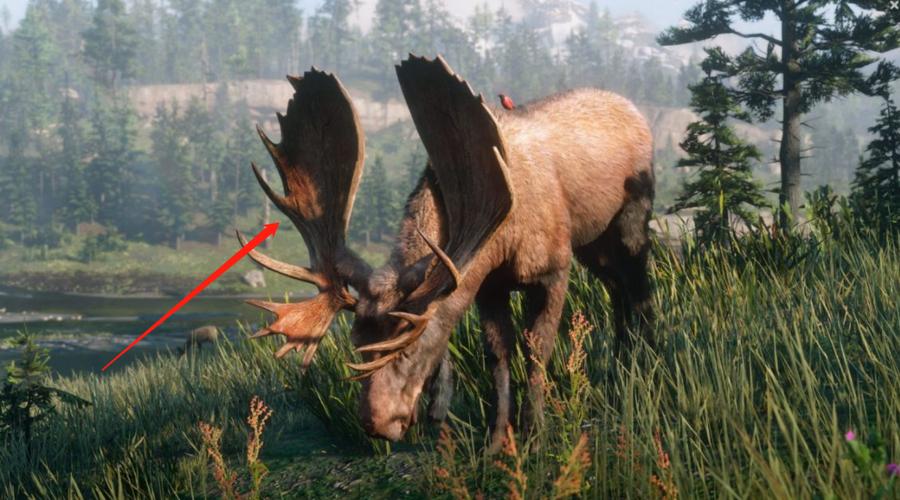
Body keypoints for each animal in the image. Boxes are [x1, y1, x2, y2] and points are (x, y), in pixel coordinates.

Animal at [238, 55, 654, 450]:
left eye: (409, 345)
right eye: (358, 343)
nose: (375, 424)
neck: (503, 238)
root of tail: (635, 111)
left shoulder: (553, 269)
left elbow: (537, 350)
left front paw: (534, 435)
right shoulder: (490, 284)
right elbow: (497, 355)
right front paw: (496, 441)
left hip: (632, 217)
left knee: (640, 288)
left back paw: (643, 366)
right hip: (593, 244)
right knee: (617, 288)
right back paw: (620, 366)